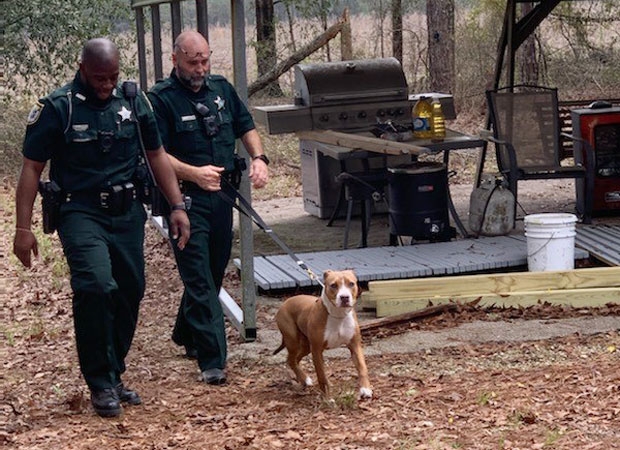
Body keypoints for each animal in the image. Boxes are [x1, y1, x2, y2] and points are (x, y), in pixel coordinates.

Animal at [272, 268, 370, 400]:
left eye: (351, 284)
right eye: (333, 285)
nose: (344, 297)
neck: (338, 315)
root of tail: (286, 302)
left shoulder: (355, 345)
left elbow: (362, 367)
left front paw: (365, 389)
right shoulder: (317, 350)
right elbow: (322, 376)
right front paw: (327, 398)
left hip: (306, 346)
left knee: (294, 359)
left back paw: (303, 379)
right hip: (293, 341)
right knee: (291, 360)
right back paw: (304, 379)